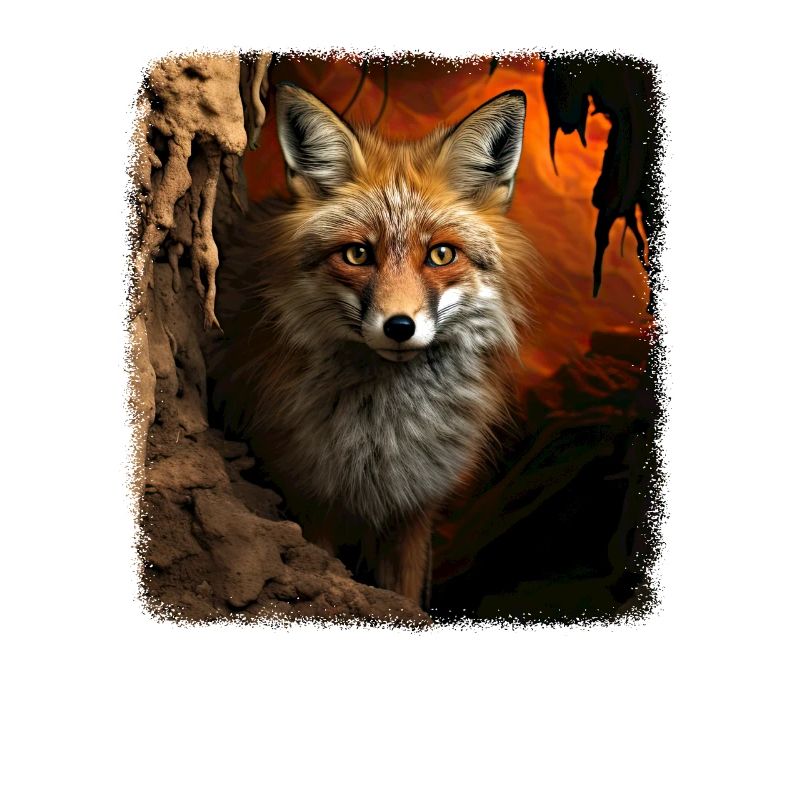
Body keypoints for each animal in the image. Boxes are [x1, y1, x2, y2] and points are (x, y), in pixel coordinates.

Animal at [211, 81, 540, 608]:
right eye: (357, 254)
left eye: (441, 254)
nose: (399, 326)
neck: (382, 438)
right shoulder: (309, 501)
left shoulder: (414, 510)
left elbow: (404, 596)